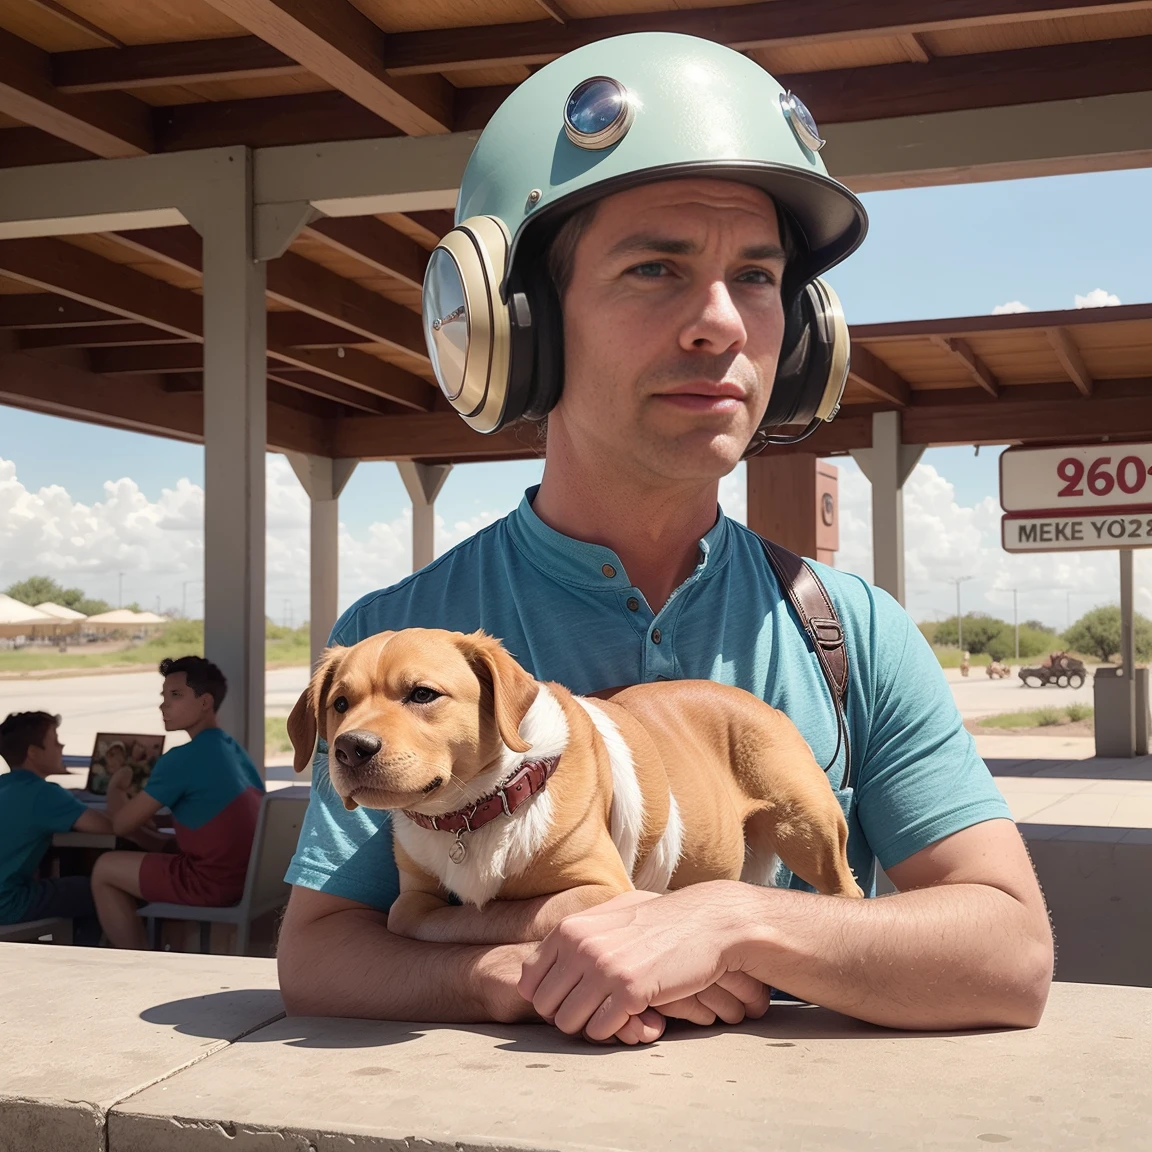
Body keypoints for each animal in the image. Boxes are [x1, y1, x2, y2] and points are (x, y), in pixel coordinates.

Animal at [288, 631, 861, 935]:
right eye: (339, 703)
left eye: (423, 694)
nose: (351, 747)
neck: (474, 810)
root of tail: (765, 707)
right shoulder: (413, 896)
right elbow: (413, 915)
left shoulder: (600, 887)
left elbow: (535, 912)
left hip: (808, 829)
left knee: (844, 887)